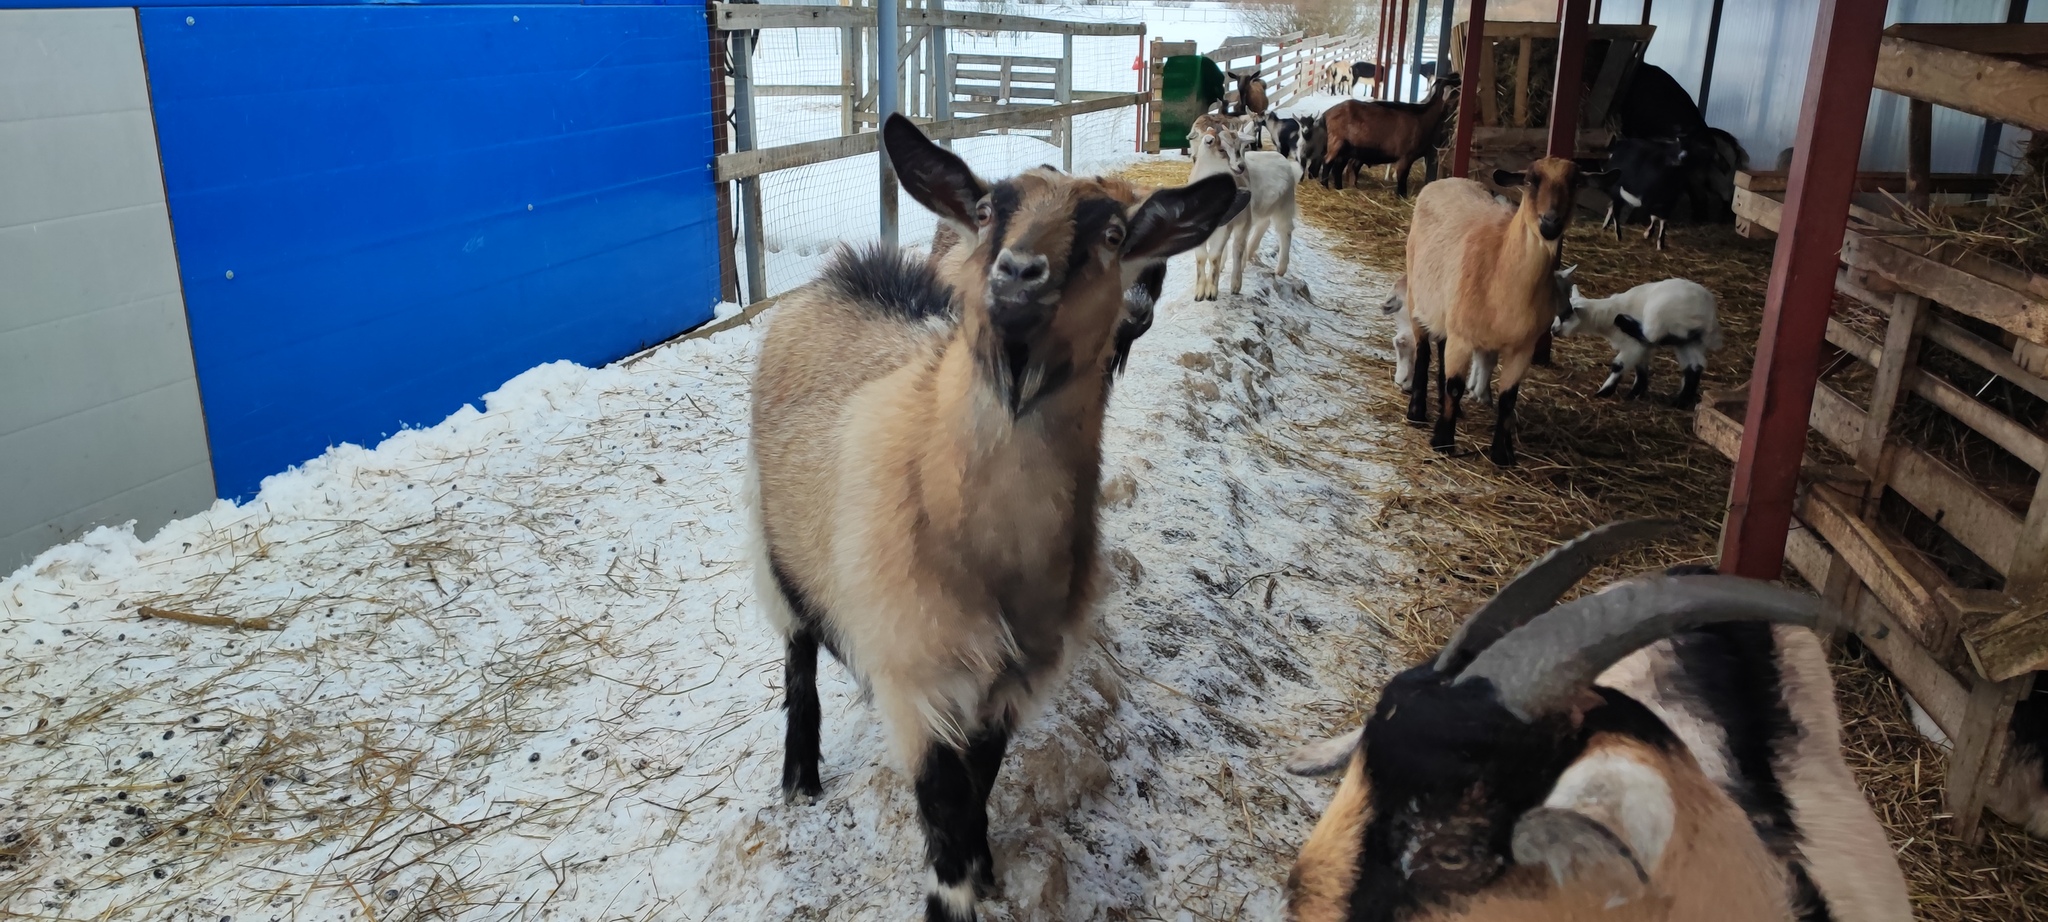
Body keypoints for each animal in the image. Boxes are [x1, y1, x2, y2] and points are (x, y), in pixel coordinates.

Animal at [1318, 75, 1466, 196]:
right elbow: (1402, 177)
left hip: (1348, 149)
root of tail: (1327, 113)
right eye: (1456, 88)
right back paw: (1325, 186)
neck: (1424, 117)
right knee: (1328, 162)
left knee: (1338, 168)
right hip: (1336, 142)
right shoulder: (1406, 156)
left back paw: (1339, 188)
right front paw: (1402, 196)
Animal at [1409, 155, 1597, 469]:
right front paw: (1443, 441)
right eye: (1531, 181)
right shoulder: (1463, 335)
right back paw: (1416, 410)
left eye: (1575, 183)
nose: (1550, 223)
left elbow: (1508, 399)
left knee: (1442, 346)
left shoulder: (1523, 348)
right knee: (1423, 350)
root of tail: (1448, 179)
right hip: (1416, 294)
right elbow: (1455, 387)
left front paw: (1502, 454)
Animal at [1556, 276, 1720, 407]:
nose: (1552, 330)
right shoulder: (1641, 349)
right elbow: (1640, 368)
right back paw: (1681, 401)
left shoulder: (1633, 346)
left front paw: (1604, 392)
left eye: (1566, 316)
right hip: (1689, 340)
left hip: (1660, 314)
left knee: (1650, 335)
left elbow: (1619, 365)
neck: (1607, 315)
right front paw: (1635, 393)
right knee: (1694, 365)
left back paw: (1623, 321)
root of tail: (1709, 310)